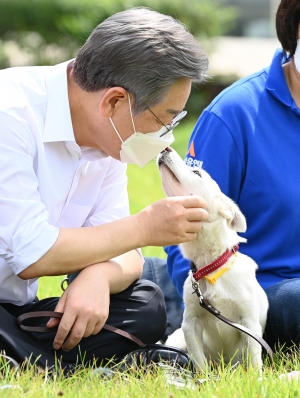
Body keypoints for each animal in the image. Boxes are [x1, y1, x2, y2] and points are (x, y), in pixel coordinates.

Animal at [158, 148, 268, 372]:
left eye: (196, 172)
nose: (166, 148)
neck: (211, 267)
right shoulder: (190, 324)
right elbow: (200, 362)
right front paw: (204, 379)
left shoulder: (249, 324)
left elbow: (254, 362)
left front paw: (258, 379)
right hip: (177, 342)